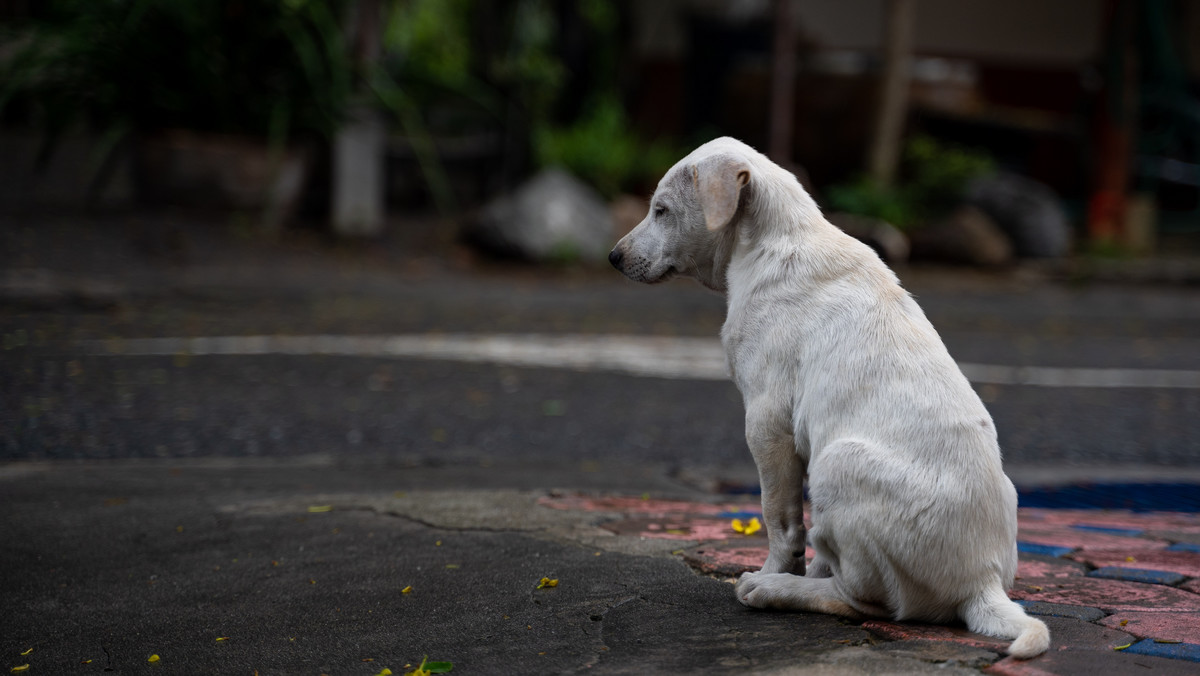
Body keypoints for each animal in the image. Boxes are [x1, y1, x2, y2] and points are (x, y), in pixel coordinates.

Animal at [609, 137, 1051, 662]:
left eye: (661, 211)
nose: (612, 257)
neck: (774, 241)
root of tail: (982, 582)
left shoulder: (766, 421)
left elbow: (778, 518)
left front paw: (775, 571)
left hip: (837, 462)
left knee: (865, 602)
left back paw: (776, 590)